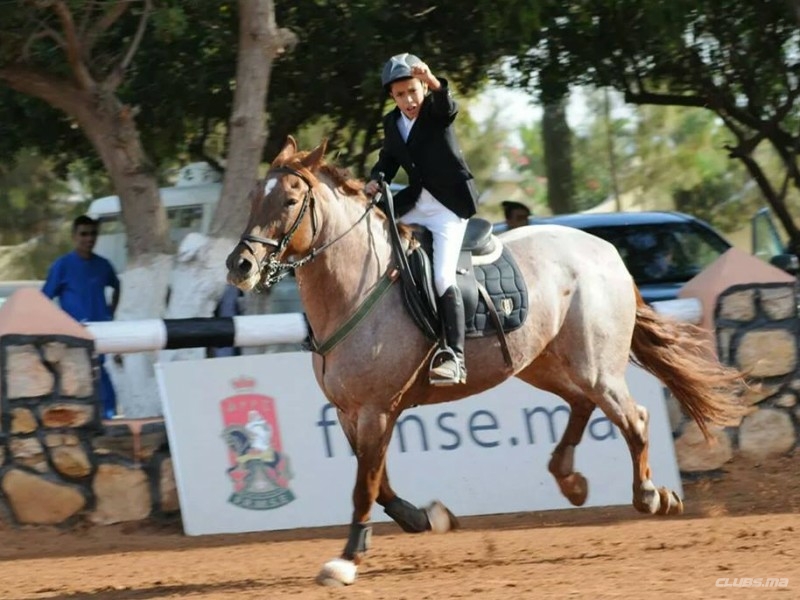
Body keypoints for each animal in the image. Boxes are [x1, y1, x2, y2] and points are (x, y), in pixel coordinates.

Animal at [223, 136, 744, 584]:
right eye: (253, 198)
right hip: (541, 364)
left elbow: (364, 485)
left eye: (290, 201)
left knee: (632, 418)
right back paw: (570, 480)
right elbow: (380, 482)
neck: (357, 286)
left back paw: (652, 497)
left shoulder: (374, 411)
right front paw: (425, 518)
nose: (239, 266)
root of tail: (605, 250)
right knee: (581, 404)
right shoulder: (351, 413)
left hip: (596, 367)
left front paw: (347, 560)